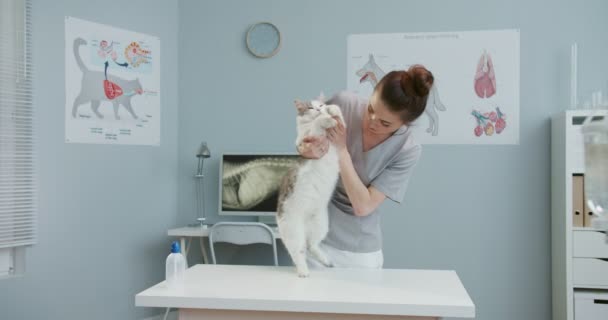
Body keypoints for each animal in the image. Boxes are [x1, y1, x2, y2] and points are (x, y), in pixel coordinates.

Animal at [276, 95, 344, 278]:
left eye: (321, 104)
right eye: (311, 108)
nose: (320, 109)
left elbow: (339, 115)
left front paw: (332, 110)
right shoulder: (309, 137)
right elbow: (316, 125)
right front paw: (325, 119)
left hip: (321, 225)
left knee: (312, 245)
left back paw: (326, 261)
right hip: (294, 232)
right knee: (299, 252)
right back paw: (303, 272)